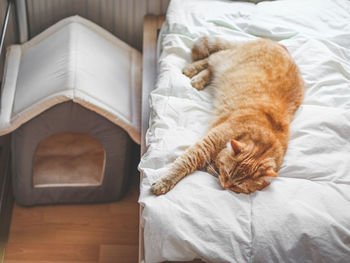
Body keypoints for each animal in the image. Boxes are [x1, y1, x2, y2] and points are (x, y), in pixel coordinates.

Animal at [150, 36, 304, 195]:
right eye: (227, 173)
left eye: (237, 187)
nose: (225, 186)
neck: (264, 140)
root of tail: (279, 45)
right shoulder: (207, 144)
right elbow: (185, 162)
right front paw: (164, 182)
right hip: (225, 60)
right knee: (212, 58)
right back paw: (193, 71)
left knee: (211, 67)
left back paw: (200, 78)